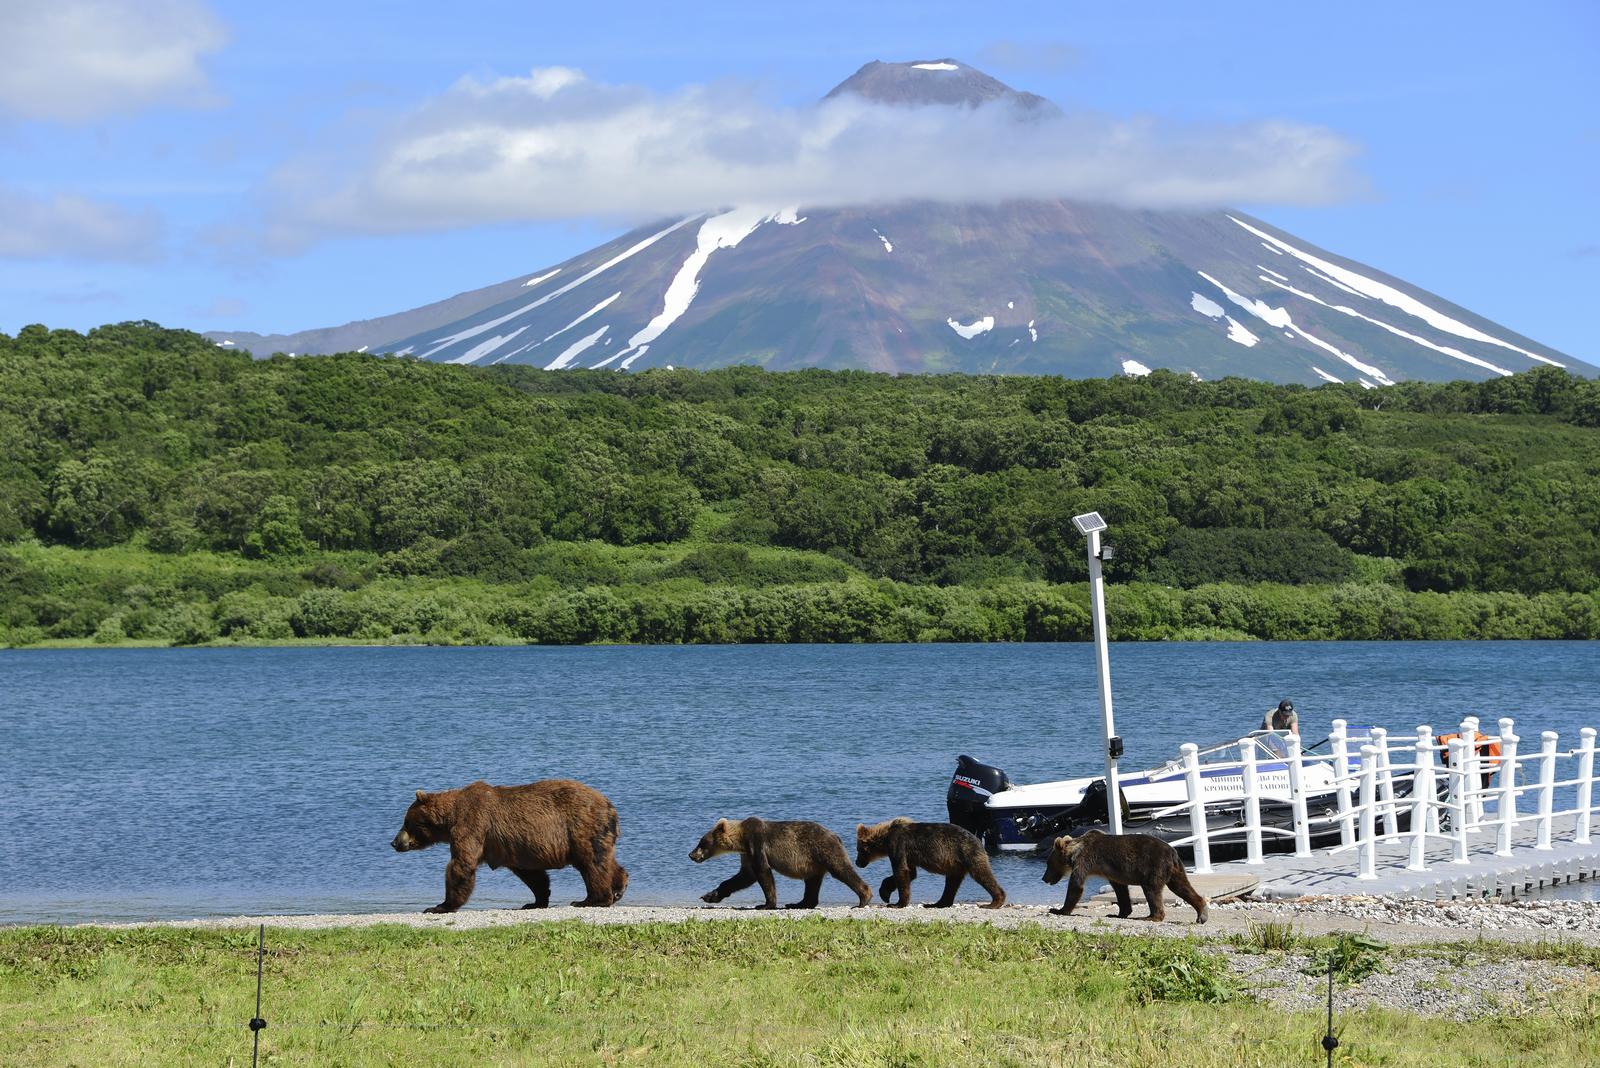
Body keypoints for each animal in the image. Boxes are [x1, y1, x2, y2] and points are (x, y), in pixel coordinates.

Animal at [390, 780, 627, 914]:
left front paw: (440, 906)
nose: (394, 842)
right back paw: (619, 886)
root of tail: (610, 805)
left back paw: (590, 900)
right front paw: (536, 901)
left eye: (406, 822)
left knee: (592, 862)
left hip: (580, 826)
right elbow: (531, 874)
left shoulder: (473, 824)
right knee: (605, 859)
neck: (450, 818)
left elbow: (461, 864)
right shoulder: (513, 846)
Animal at [691, 818, 876, 908]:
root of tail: (837, 836)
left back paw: (863, 898)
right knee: (812, 882)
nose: (691, 854)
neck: (741, 840)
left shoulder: (756, 843)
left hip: (824, 850)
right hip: (812, 863)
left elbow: (763, 872)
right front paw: (710, 896)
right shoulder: (746, 854)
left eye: (701, 843)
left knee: (841, 869)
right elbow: (744, 876)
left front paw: (766, 904)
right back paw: (799, 903)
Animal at [851, 818, 998, 908]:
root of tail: (979, 840)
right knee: (952, 883)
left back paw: (995, 901)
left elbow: (901, 872)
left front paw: (897, 903)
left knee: (982, 874)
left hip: (968, 853)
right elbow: (910, 873)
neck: (886, 838)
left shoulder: (898, 845)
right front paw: (885, 893)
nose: (857, 862)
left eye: (858, 849)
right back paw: (937, 903)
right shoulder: (908, 856)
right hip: (956, 865)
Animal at [1043, 831, 1203, 920]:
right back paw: (1202, 912)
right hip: (1176, 870)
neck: (1074, 851)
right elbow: (1121, 890)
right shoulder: (1113, 873)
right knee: (1182, 887)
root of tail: (1173, 853)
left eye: (1048, 863)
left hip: (1154, 866)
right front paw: (1119, 913)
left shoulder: (1084, 859)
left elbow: (1076, 885)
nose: (1044, 878)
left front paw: (1059, 910)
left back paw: (1151, 917)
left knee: (1152, 889)